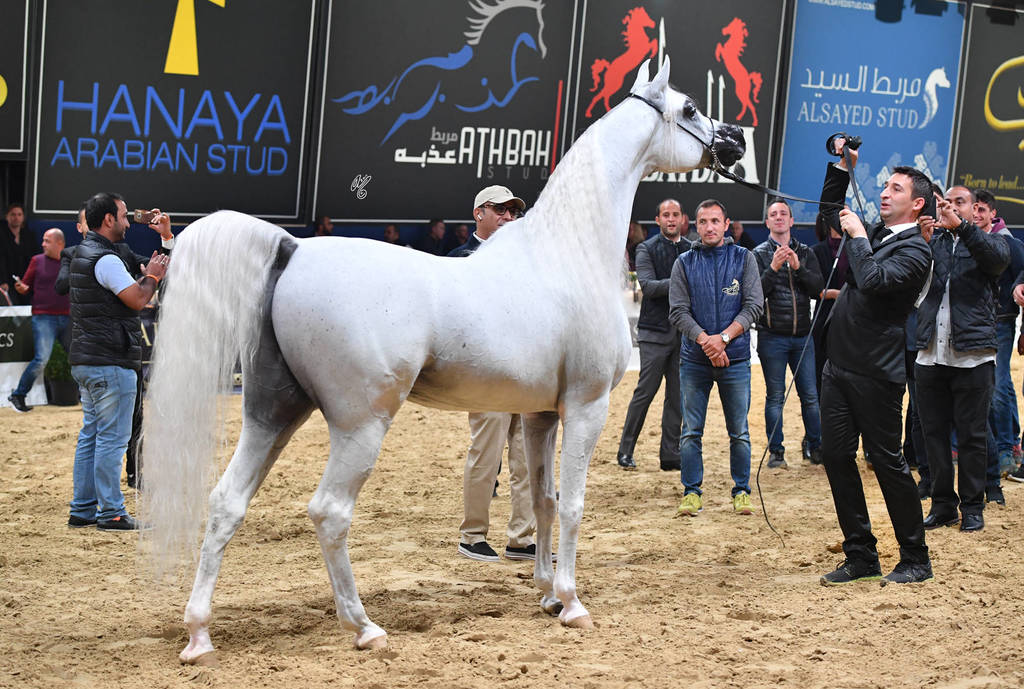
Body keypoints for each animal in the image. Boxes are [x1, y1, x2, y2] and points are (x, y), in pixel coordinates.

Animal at [141, 56, 745, 665]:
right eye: (691, 107)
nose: (736, 140)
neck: (568, 253)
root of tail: (294, 248)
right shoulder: (587, 405)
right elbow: (574, 503)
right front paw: (573, 605)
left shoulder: (540, 416)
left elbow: (544, 501)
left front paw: (547, 594)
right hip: (360, 425)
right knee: (329, 512)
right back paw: (364, 627)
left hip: (274, 412)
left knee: (226, 503)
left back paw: (199, 636)